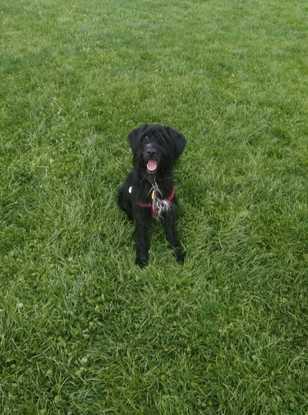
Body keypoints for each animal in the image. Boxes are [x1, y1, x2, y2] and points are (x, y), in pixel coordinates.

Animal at [117, 123, 185, 268]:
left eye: (162, 139)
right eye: (145, 138)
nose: (151, 151)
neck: (153, 183)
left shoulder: (168, 209)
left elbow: (172, 234)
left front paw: (178, 254)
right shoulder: (140, 213)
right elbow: (142, 237)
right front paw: (142, 260)